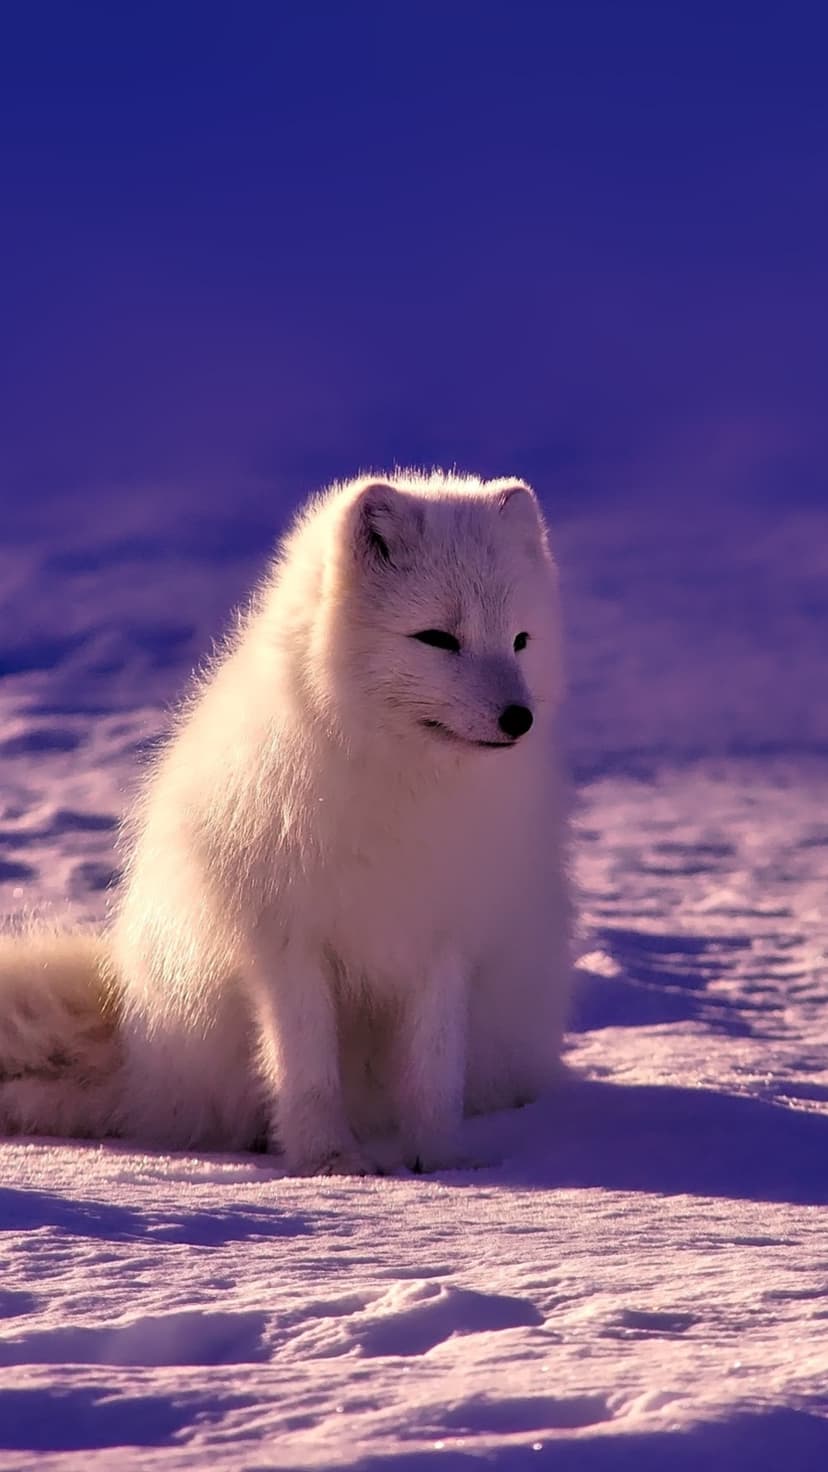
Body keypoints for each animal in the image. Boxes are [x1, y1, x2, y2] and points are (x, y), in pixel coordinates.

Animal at [0, 470, 571, 1175]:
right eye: (438, 638)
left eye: (520, 641)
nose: (519, 718)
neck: (401, 788)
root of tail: (138, 1063)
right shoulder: (285, 941)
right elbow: (306, 1069)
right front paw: (328, 1161)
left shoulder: (443, 941)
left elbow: (434, 1073)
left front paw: (440, 1161)